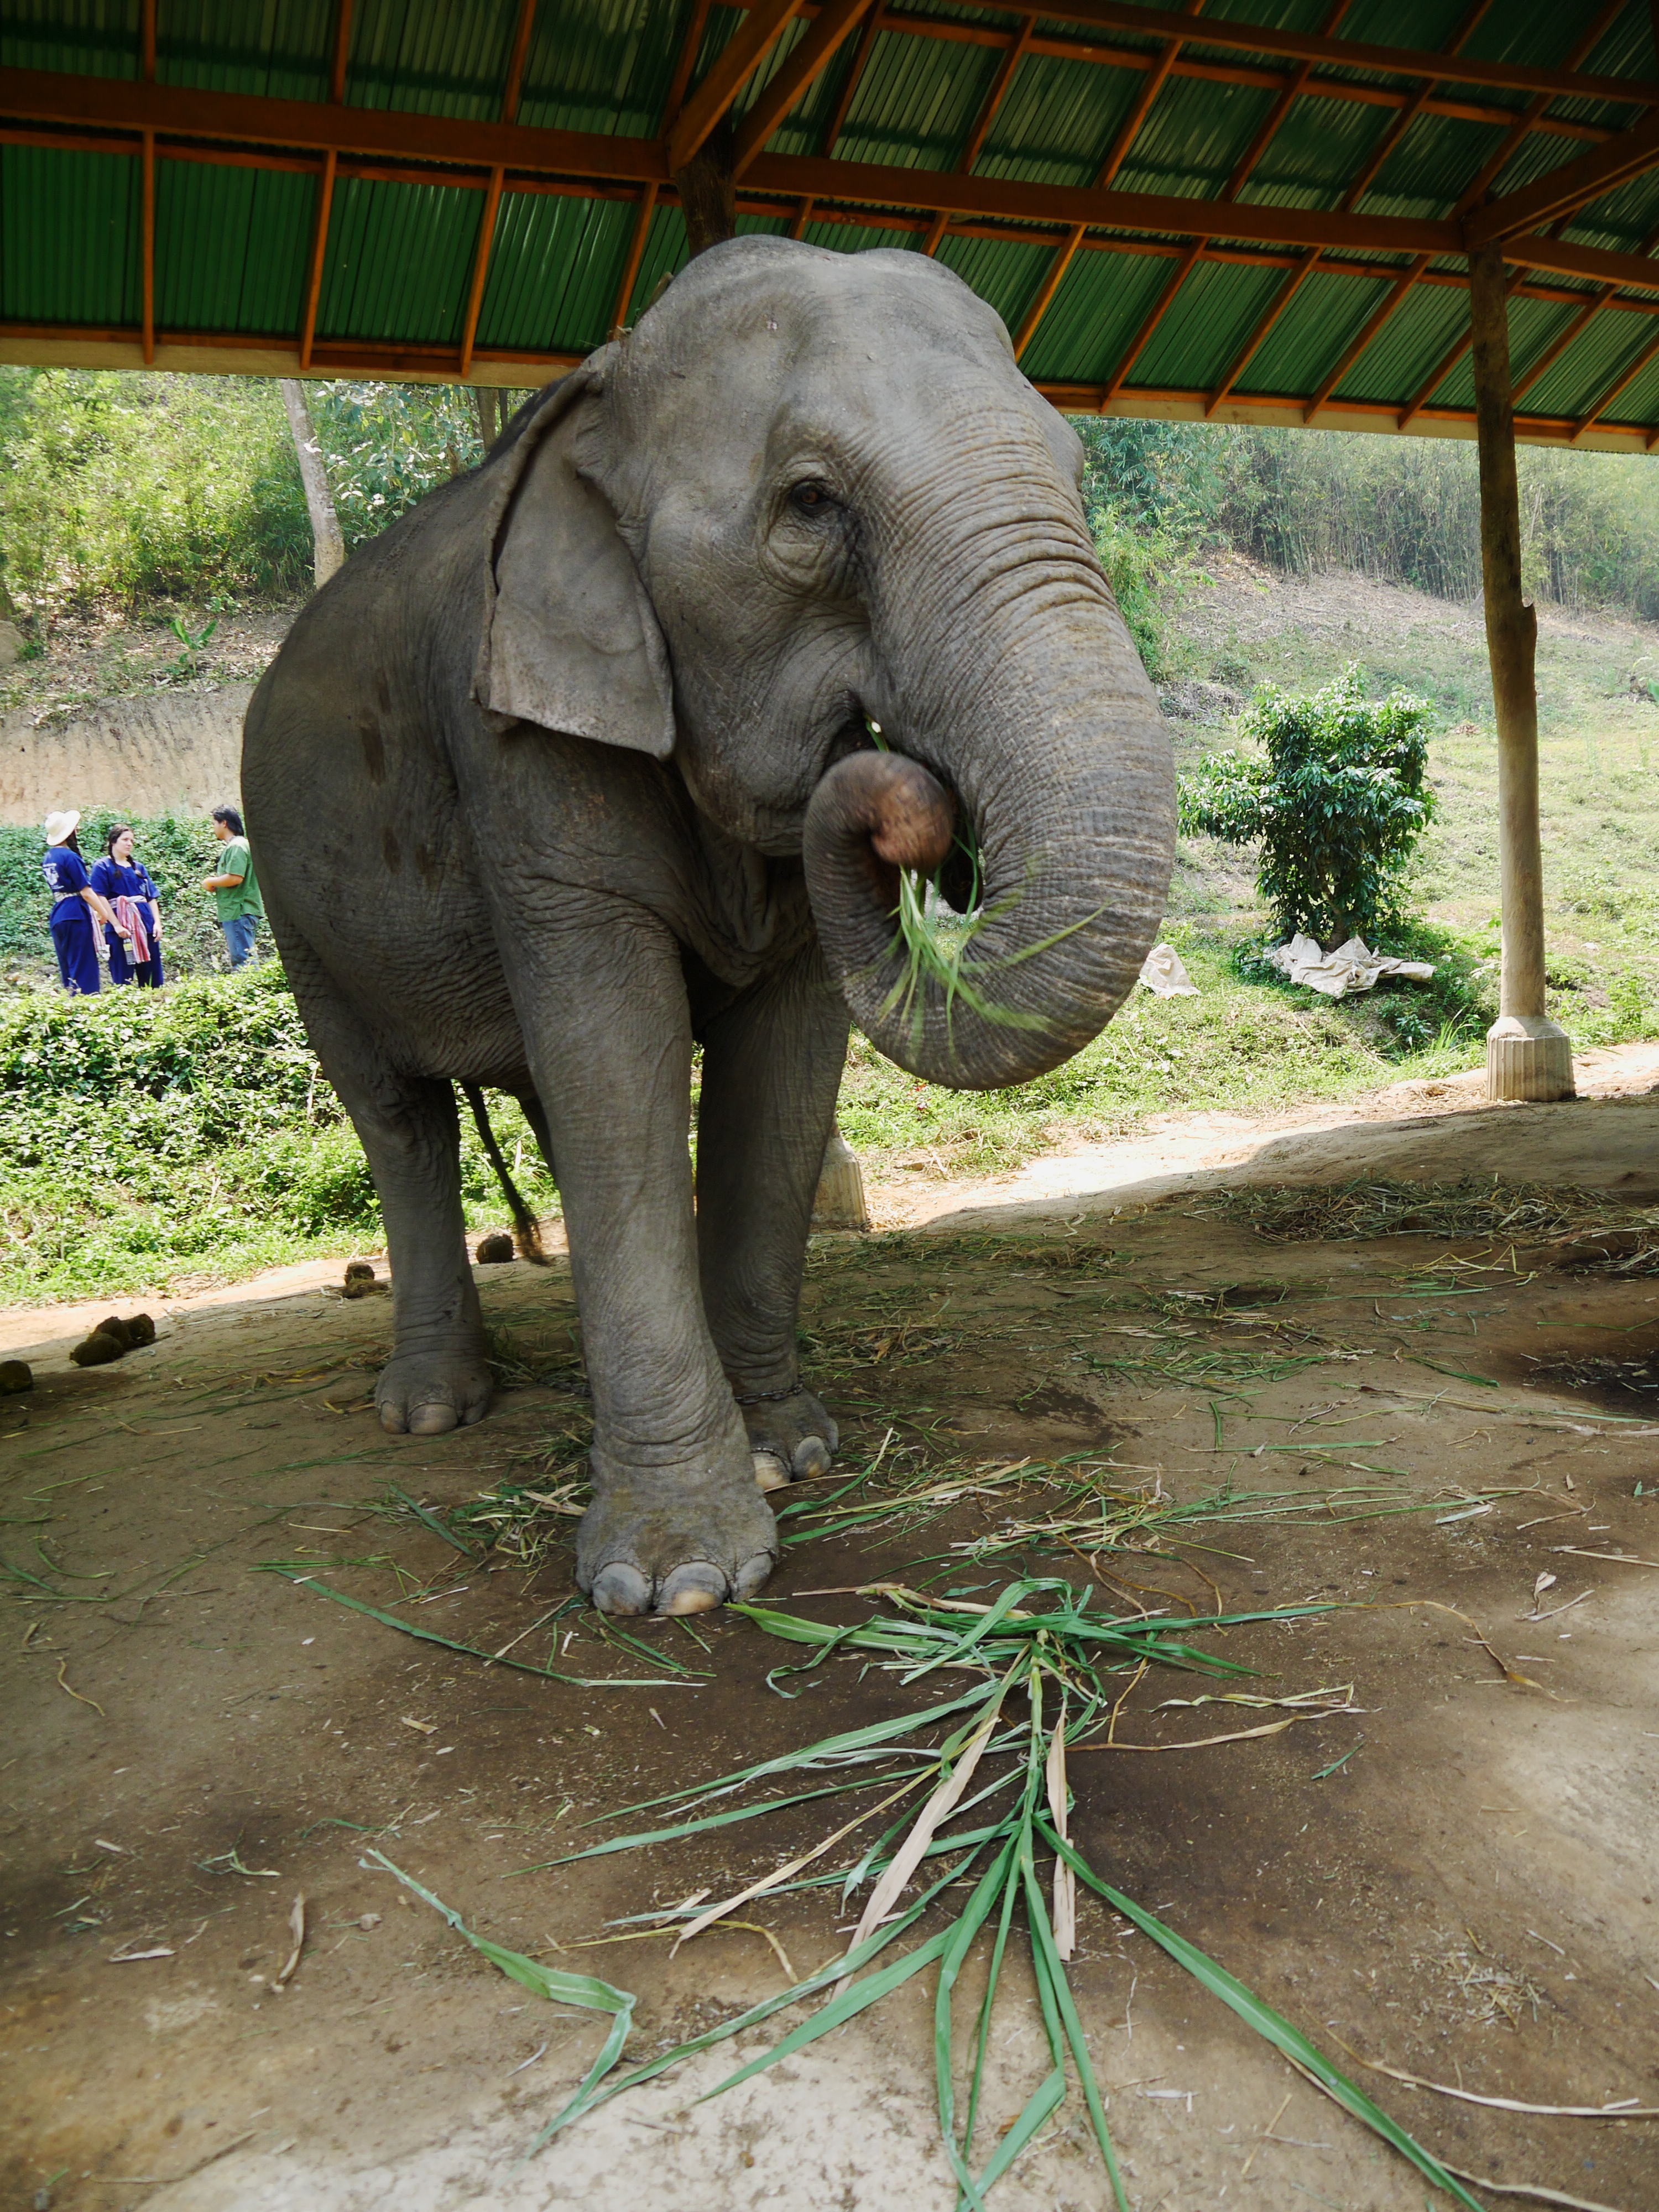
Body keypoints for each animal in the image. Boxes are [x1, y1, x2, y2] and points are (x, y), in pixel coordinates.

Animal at [242, 236, 1174, 1618]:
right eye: (810, 503)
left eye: (1072, 472)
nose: (911, 804)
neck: (604, 395)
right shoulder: (519, 745)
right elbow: (619, 1048)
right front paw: (676, 1580)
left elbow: (774, 1076)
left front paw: (791, 1451)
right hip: (291, 898)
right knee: (401, 1116)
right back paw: (432, 1411)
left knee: (548, 1109)